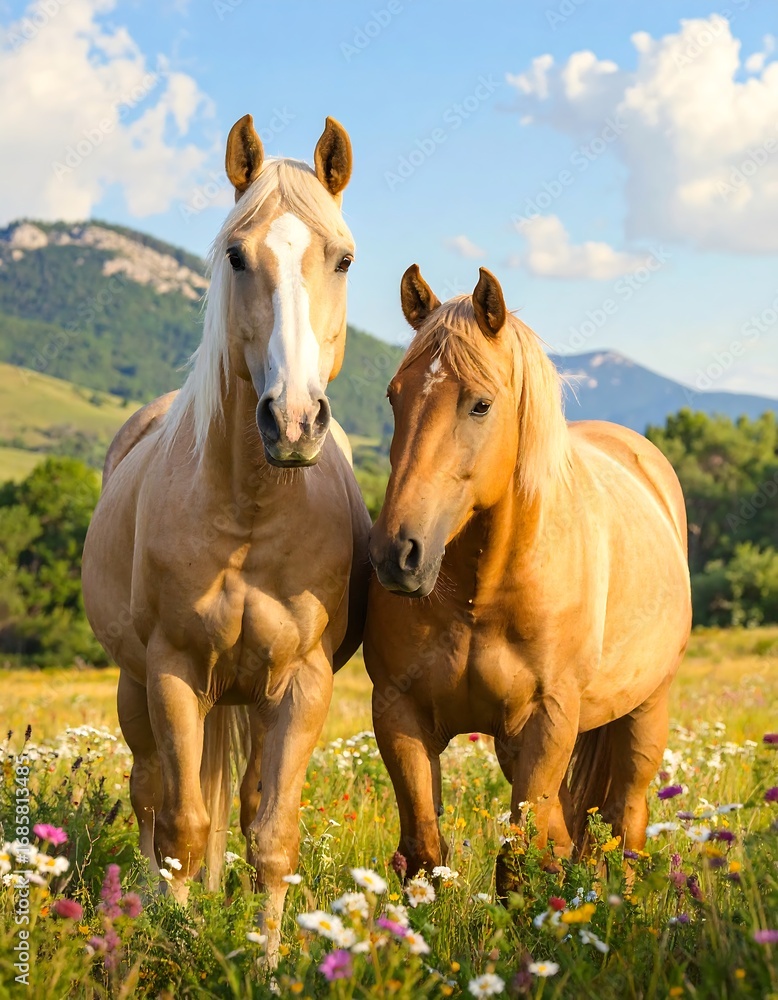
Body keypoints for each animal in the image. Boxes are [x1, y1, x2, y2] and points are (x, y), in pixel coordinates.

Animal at [82, 114, 371, 960]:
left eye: (342, 257)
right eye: (238, 256)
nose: (294, 421)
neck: (251, 511)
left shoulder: (304, 684)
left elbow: (271, 833)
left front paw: (267, 959)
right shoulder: (174, 670)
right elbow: (182, 824)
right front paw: (176, 940)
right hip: (136, 689)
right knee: (150, 793)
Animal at [364, 264, 691, 886]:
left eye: (480, 405)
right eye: (393, 396)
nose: (397, 555)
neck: (479, 595)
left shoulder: (548, 720)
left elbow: (521, 859)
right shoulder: (400, 713)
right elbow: (424, 851)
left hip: (647, 709)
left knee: (625, 821)